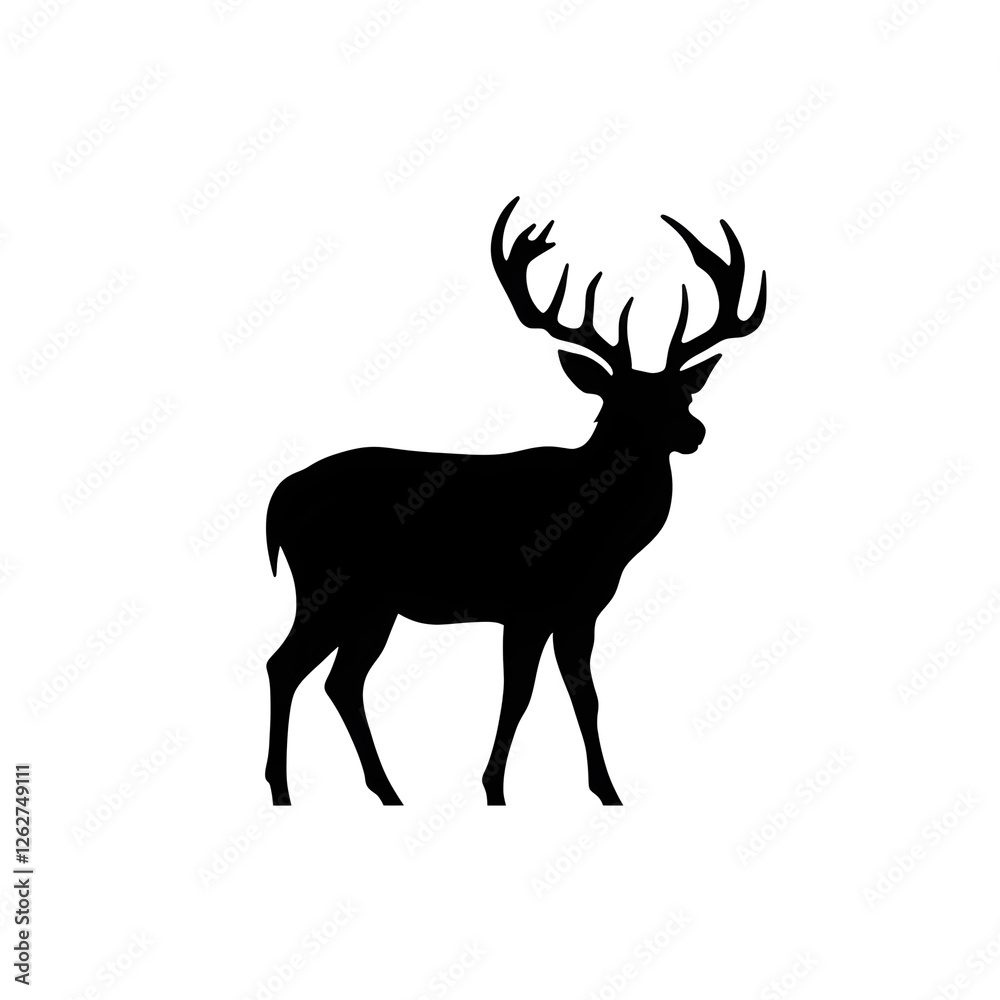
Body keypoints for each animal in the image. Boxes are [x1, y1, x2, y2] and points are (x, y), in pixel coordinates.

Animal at [263, 196, 766, 806]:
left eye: (682, 394)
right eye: (621, 402)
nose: (694, 432)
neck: (601, 539)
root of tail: (279, 498)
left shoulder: (580, 610)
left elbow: (585, 695)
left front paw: (608, 791)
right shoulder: (526, 604)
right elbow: (518, 695)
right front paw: (494, 790)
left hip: (374, 604)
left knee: (341, 681)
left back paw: (388, 791)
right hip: (331, 583)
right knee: (284, 665)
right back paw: (281, 789)